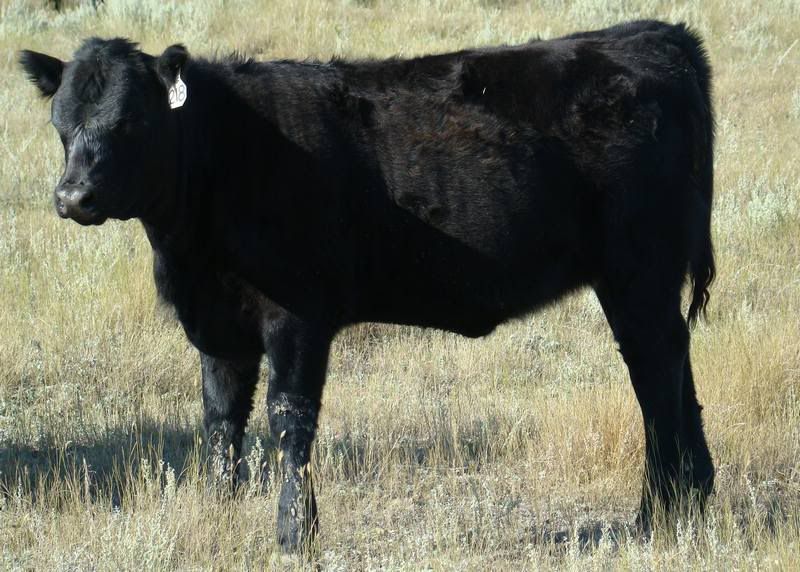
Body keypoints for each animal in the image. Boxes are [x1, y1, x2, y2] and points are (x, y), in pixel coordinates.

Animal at [20, 19, 715, 552]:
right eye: (60, 123)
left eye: (131, 122)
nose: (72, 197)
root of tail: (651, 34)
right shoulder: (218, 327)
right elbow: (220, 421)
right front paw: (217, 514)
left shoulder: (297, 316)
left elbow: (289, 418)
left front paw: (294, 534)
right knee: (673, 365)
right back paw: (695, 499)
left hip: (636, 272)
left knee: (654, 375)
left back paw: (657, 513)